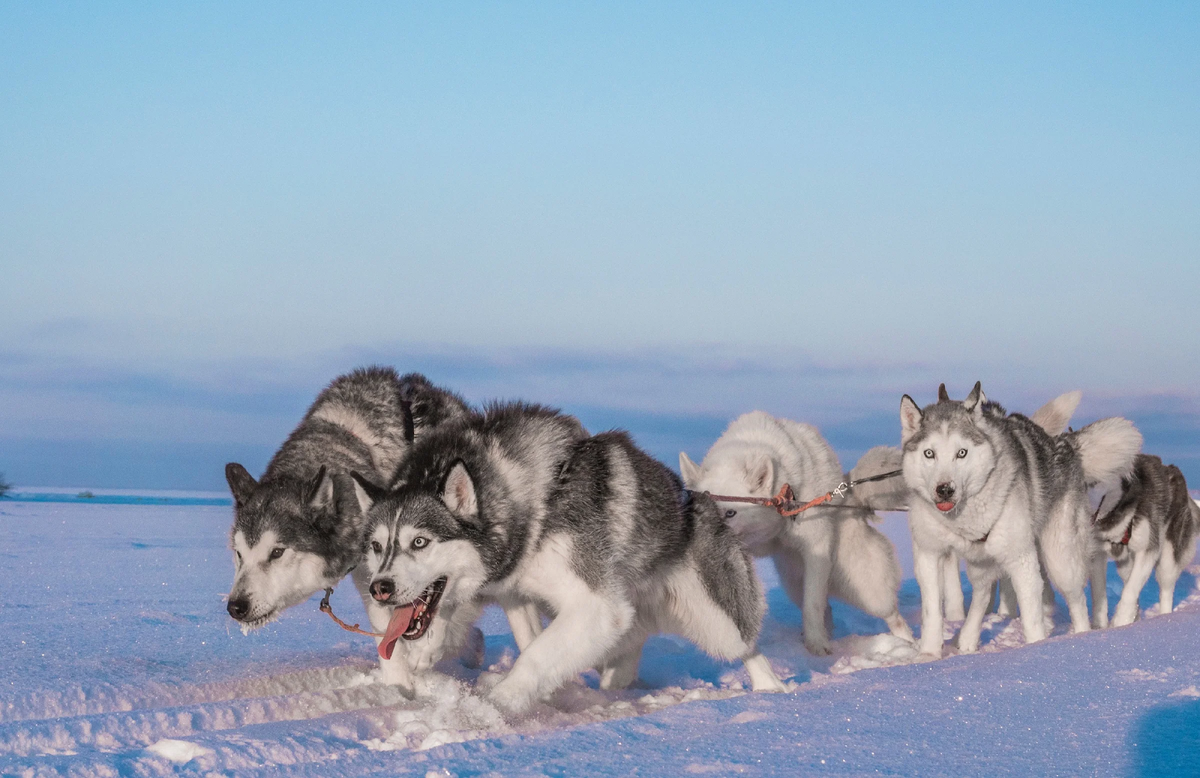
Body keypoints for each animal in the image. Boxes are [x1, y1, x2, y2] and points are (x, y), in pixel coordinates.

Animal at [223, 367, 470, 691]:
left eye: (277, 552)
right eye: (239, 553)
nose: (235, 606)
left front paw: (424, 654)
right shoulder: (370, 577)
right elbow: (387, 636)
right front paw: (397, 688)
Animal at [350, 410, 782, 715]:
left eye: (419, 542)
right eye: (376, 546)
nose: (380, 588)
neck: (533, 501)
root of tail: (704, 501)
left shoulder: (596, 606)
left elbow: (535, 657)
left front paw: (493, 707)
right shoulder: (515, 590)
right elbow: (518, 635)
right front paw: (428, 648)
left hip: (715, 622)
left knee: (746, 646)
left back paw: (773, 693)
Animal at [681, 413, 912, 657]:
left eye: (730, 512)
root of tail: (849, 493)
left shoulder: (816, 552)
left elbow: (813, 605)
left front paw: (817, 646)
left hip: (867, 589)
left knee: (893, 617)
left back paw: (911, 648)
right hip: (792, 582)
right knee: (827, 609)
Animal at [902, 381, 1142, 657]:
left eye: (961, 453)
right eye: (929, 453)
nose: (944, 489)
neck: (962, 517)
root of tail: (1062, 443)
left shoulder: (1021, 560)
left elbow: (1031, 615)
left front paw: (1034, 651)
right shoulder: (929, 553)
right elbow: (932, 611)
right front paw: (928, 655)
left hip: (1060, 561)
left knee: (1077, 601)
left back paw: (1079, 638)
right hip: (980, 563)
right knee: (982, 595)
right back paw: (967, 640)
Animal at [1094, 456, 1195, 624]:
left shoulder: (1147, 548)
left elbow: (1130, 591)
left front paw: (1120, 623)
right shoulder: (1096, 555)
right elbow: (1099, 597)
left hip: (1167, 559)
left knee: (1165, 590)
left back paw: (1164, 618)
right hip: (1125, 565)